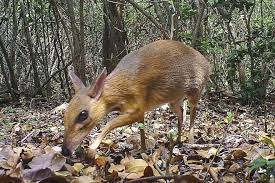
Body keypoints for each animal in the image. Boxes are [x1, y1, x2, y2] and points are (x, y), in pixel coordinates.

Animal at [61, 39, 210, 156]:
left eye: (83, 114)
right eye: (65, 113)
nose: (65, 151)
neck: (120, 90)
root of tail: (208, 64)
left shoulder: (137, 107)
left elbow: (110, 123)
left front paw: (92, 149)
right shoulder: (140, 110)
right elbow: (141, 129)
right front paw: (143, 149)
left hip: (196, 90)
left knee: (193, 111)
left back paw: (190, 140)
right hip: (173, 100)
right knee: (181, 114)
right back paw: (178, 140)